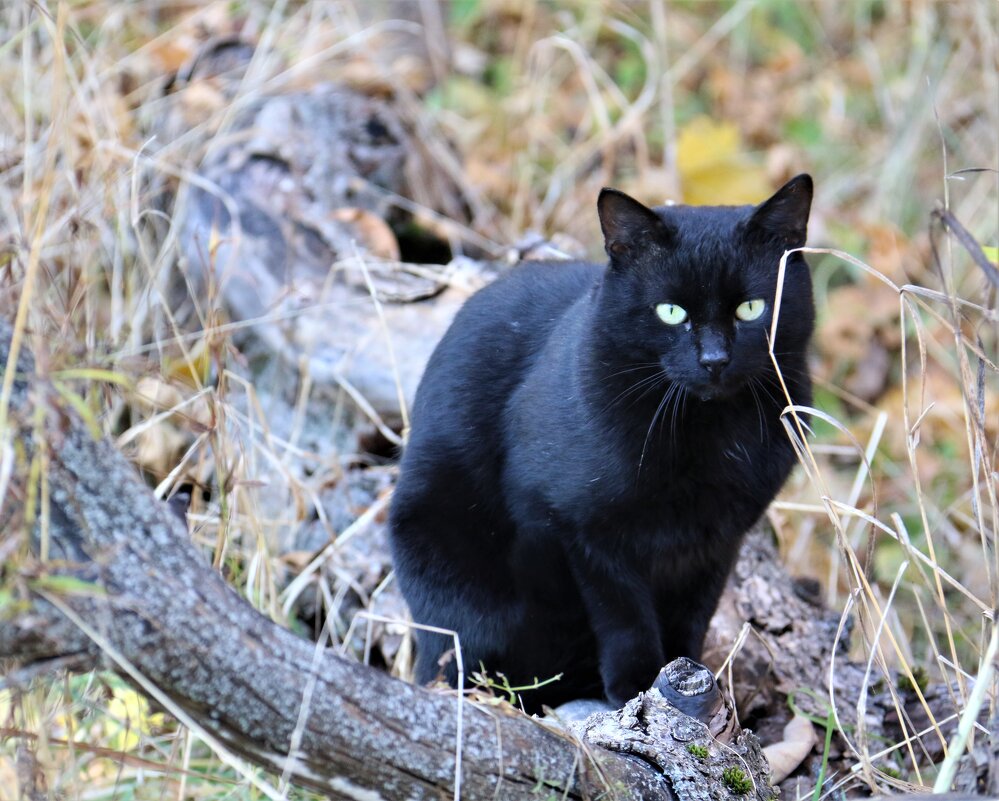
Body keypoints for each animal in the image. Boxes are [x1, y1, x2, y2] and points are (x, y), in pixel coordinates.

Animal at [386, 175, 816, 712]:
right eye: (670, 311)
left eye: (752, 308)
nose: (714, 359)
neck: (707, 435)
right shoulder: (583, 528)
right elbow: (622, 611)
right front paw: (637, 684)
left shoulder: (717, 538)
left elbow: (694, 611)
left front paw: (686, 673)